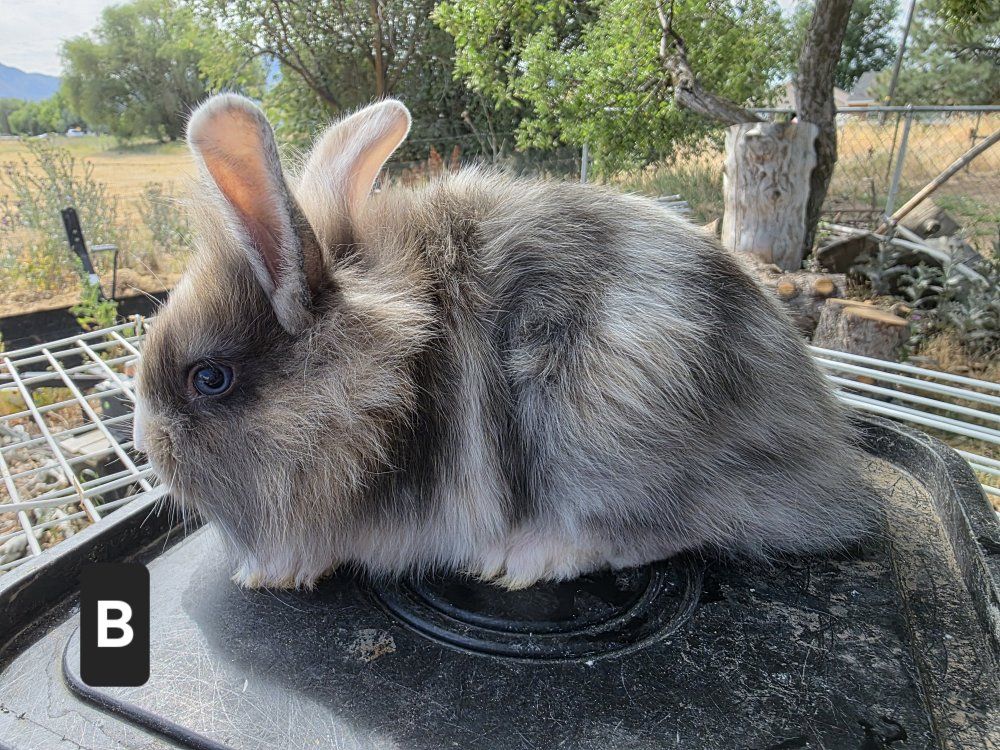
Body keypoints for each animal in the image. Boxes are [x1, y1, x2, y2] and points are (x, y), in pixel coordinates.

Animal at [132, 93, 879, 591]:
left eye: (209, 379)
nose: (146, 442)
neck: (384, 386)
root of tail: (821, 461)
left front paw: (266, 573)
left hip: (606, 427)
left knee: (665, 529)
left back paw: (525, 556)